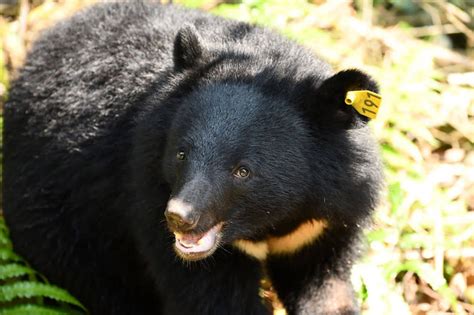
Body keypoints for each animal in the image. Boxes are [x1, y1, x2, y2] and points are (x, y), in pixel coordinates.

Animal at [2, 1, 382, 314]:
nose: (179, 217)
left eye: (243, 171)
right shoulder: (147, 190)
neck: (272, 221)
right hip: (64, 223)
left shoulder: (326, 222)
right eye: (181, 153)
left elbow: (326, 290)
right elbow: (212, 299)